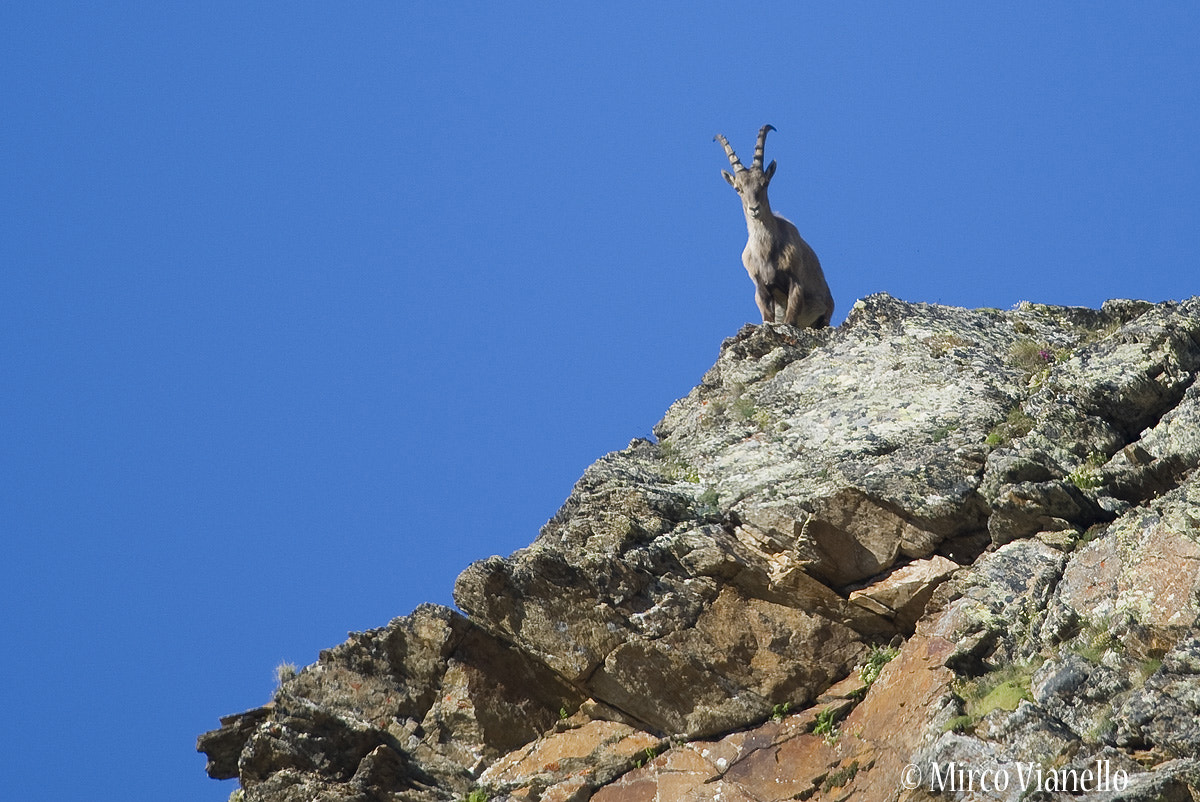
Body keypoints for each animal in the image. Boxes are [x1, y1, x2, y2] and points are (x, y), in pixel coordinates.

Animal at [715, 125, 834, 328]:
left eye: (764, 183)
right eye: (738, 188)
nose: (754, 209)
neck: (765, 252)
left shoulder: (795, 281)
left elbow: (791, 318)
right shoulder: (761, 288)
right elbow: (767, 316)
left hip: (824, 315)